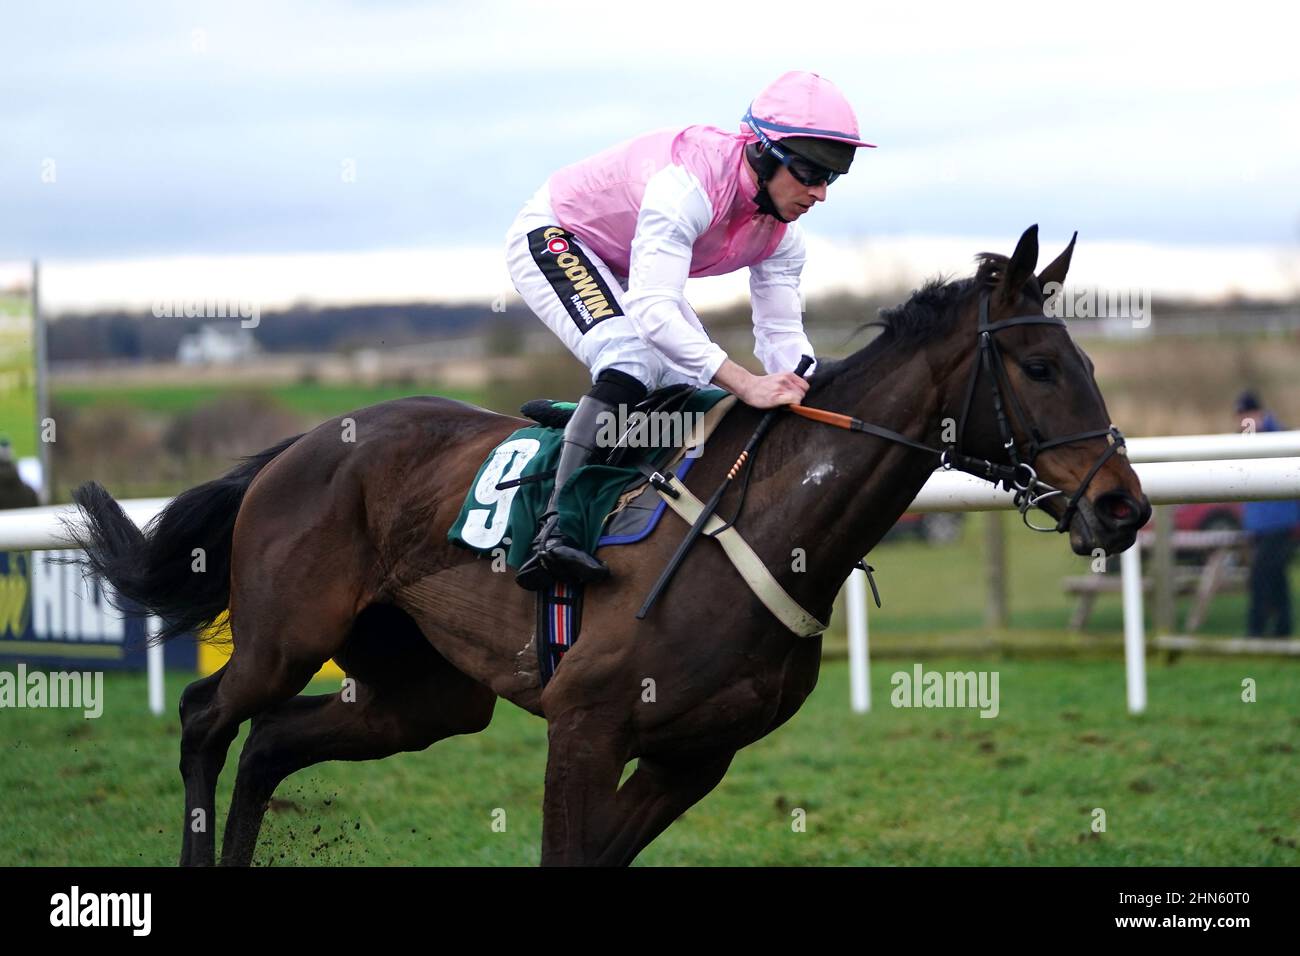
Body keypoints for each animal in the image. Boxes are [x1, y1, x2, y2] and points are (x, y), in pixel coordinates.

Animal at [68, 226, 1149, 868]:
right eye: (1041, 365)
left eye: (1092, 361)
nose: (1124, 506)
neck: (760, 528)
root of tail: (298, 445)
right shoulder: (584, 724)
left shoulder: (694, 755)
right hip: (285, 635)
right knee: (207, 718)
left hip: (424, 694)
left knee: (272, 744)